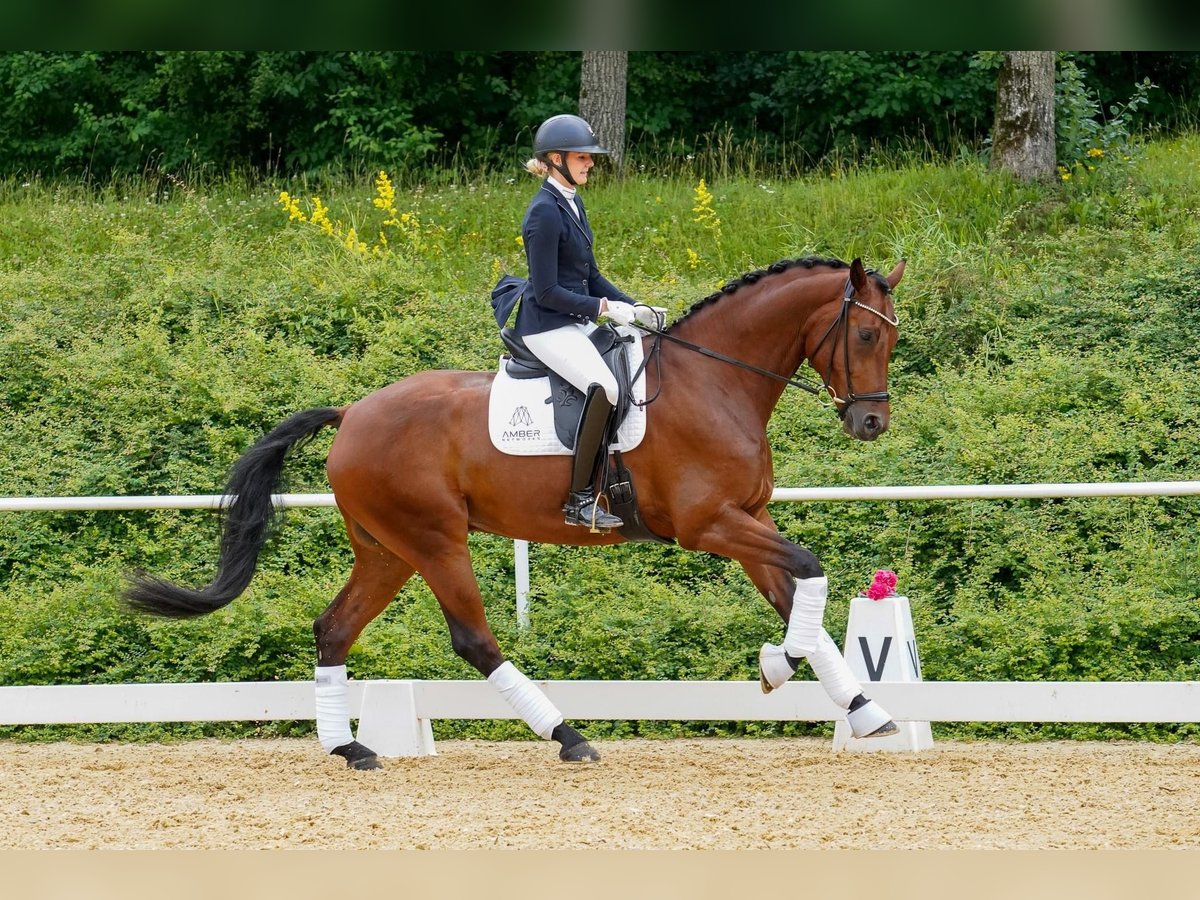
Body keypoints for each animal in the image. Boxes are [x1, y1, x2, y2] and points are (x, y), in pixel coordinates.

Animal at [126, 256, 902, 772]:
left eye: (891, 338)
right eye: (865, 337)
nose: (870, 424)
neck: (715, 381)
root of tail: (352, 413)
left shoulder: (747, 520)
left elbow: (799, 597)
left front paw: (864, 709)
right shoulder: (707, 524)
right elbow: (810, 570)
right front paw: (779, 668)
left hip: (387, 550)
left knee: (334, 628)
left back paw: (349, 747)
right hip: (435, 540)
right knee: (474, 639)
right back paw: (569, 736)